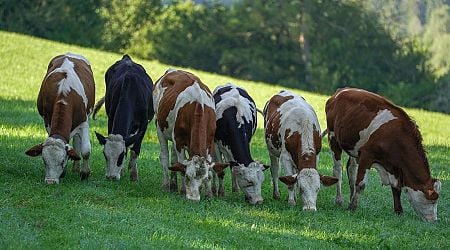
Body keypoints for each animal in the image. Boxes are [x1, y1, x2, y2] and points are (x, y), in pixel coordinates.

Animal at [25, 52, 95, 184]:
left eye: (62, 161)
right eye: (44, 161)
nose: (50, 181)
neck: (64, 93)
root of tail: (69, 53)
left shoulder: (83, 122)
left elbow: (86, 150)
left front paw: (85, 173)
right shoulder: (47, 121)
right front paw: (64, 172)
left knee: (77, 143)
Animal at [154, 69, 229, 202]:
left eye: (205, 178)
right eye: (188, 177)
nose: (193, 199)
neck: (199, 106)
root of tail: (173, 70)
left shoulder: (210, 142)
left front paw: (208, 193)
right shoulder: (178, 140)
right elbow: (181, 166)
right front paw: (183, 191)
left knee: (173, 159)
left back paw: (173, 184)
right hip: (159, 126)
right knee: (164, 156)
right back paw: (166, 185)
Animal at [326, 87, 442, 221]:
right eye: (432, 200)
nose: (434, 220)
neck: (396, 137)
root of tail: (341, 91)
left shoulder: (394, 166)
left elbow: (396, 187)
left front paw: (398, 211)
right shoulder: (366, 155)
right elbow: (361, 184)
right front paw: (352, 208)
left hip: (352, 147)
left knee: (351, 169)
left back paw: (350, 197)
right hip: (333, 137)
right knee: (337, 170)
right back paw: (339, 200)